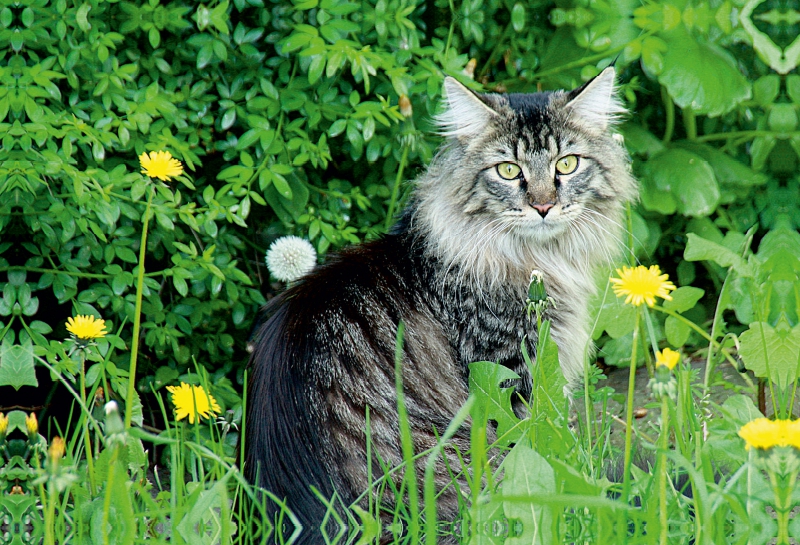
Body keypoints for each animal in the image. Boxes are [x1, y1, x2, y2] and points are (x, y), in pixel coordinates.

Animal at [244, 68, 636, 540]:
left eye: (567, 164)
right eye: (508, 171)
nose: (544, 205)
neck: (535, 260)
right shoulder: (511, 378)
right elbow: (533, 445)